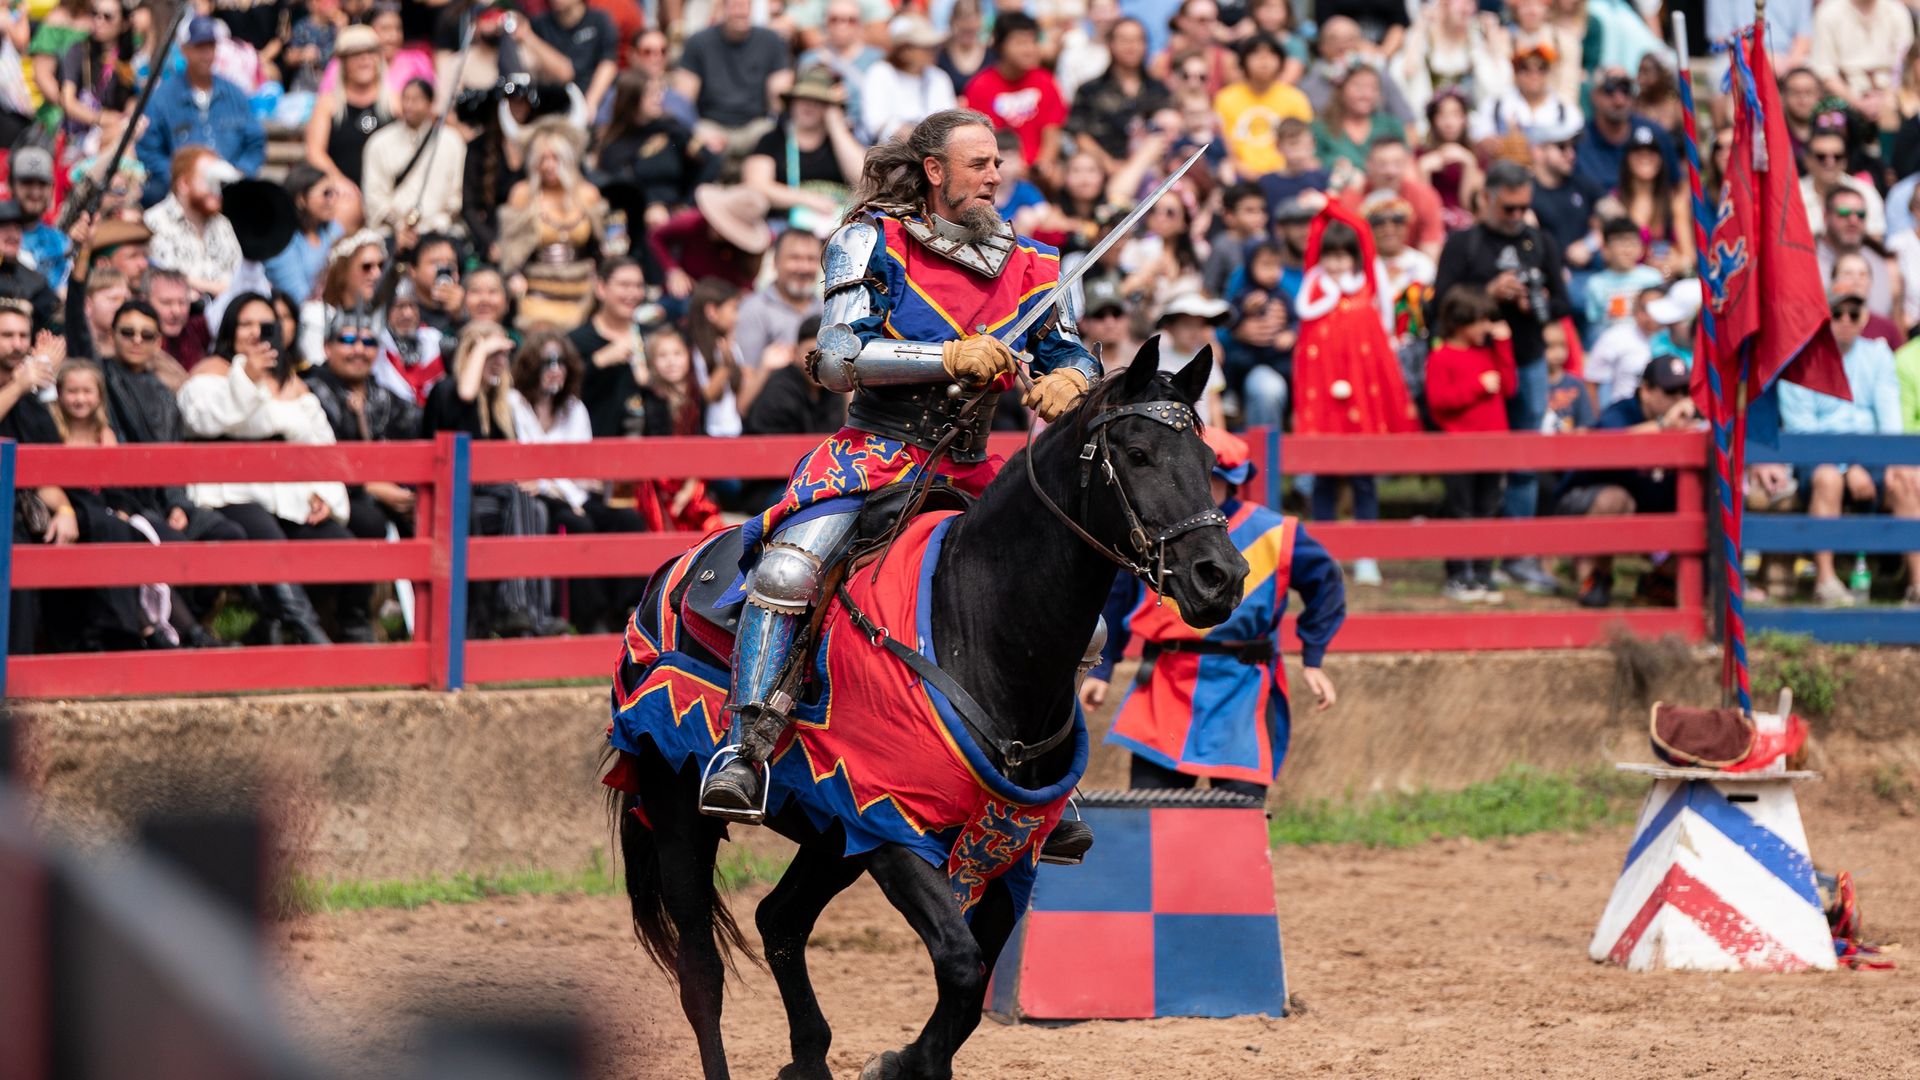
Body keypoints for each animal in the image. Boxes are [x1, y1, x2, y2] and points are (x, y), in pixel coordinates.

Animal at [604, 341, 1249, 1080]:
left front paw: (901, 1062)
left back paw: (810, 1059)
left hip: (830, 837)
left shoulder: (1004, 843)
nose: (1220, 578)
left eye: (1206, 459)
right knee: (701, 973)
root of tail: (667, 579)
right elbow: (962, 968)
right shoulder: (892, 828)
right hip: (681, 810)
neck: (977, 623)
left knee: (779, 921)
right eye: (1137, 453)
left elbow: (969, 989)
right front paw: (901, 1062)